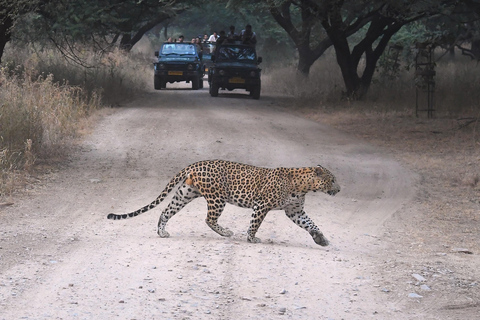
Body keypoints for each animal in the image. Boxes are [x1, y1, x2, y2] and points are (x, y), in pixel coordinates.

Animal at [107, 159, 340, 245]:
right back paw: (226, 232)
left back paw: (162, 232)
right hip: (217, 198)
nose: (339, 189)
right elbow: (255, 223)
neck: (304, 185)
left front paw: (320, 238)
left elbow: (310, 223)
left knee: (165, 211)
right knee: (208, 219)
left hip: (185, 193)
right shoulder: (262, 204)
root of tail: (195, 164)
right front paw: (251, 238)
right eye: (332, 180)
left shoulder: (295, 211)